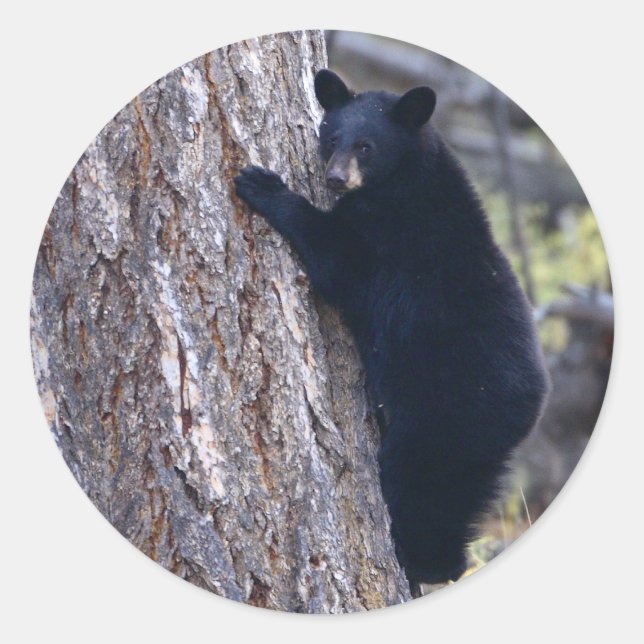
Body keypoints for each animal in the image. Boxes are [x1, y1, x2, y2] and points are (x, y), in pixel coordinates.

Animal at [234, 69, 550, 591]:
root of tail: (528, 410)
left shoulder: (390, 242)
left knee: (418, 487)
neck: (407, 181)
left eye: (367, 146)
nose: (335, 178)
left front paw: (262, 185)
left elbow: (337, 262)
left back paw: (417, 561)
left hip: (443, 418)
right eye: (332, 138)